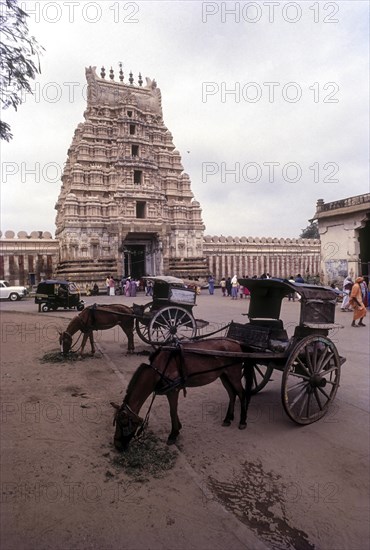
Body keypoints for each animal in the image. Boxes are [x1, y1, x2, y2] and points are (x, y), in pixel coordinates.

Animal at [111, 336, 253, 452]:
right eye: (116, 422)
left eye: (123, 423)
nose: (117, 446)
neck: (158, 369)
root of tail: (236, 344)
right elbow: (174, 411)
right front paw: (178, 428)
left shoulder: (173, 391)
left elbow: (172, 411)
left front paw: (173, 434)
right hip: (224, 375)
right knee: (232, 394)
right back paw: (228, 418)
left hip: (234, 374)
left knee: (241, 394)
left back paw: (242, 421)